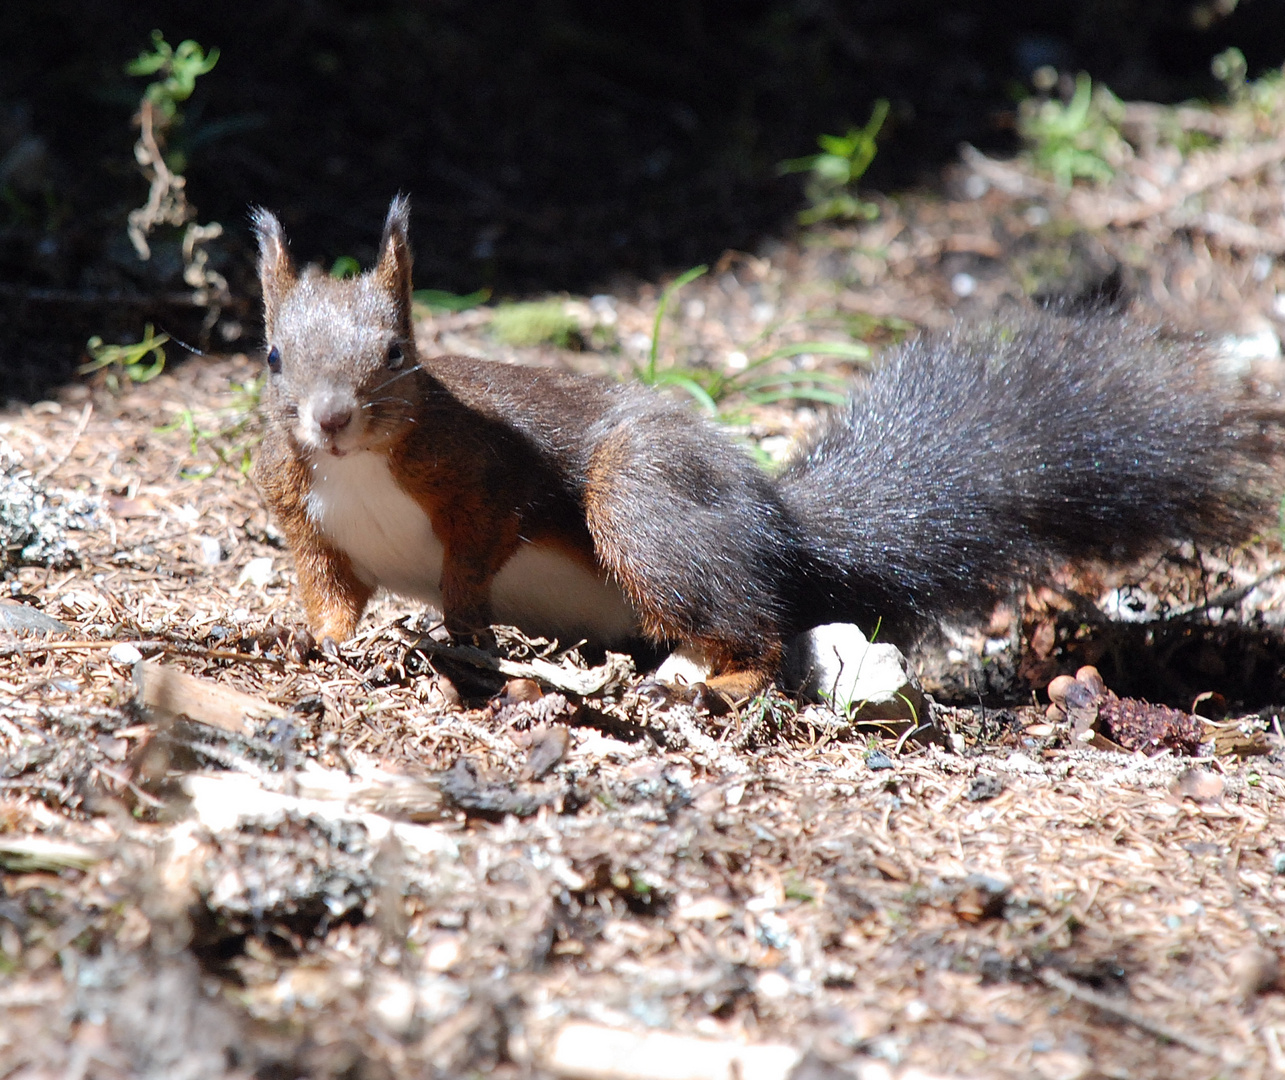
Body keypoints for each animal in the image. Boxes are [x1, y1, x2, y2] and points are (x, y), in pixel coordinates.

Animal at [250, 194, 1274, 699]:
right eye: (270, 357)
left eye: (399, 353)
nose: (329, 419)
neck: (357, 469)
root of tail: (782, 532)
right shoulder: (304, 521)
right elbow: (330, 594)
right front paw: (313, 642)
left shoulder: (488, 475)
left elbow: (479, 549)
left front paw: (463, 625)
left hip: (640, 504)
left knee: (759, 629)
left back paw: (714, 682)